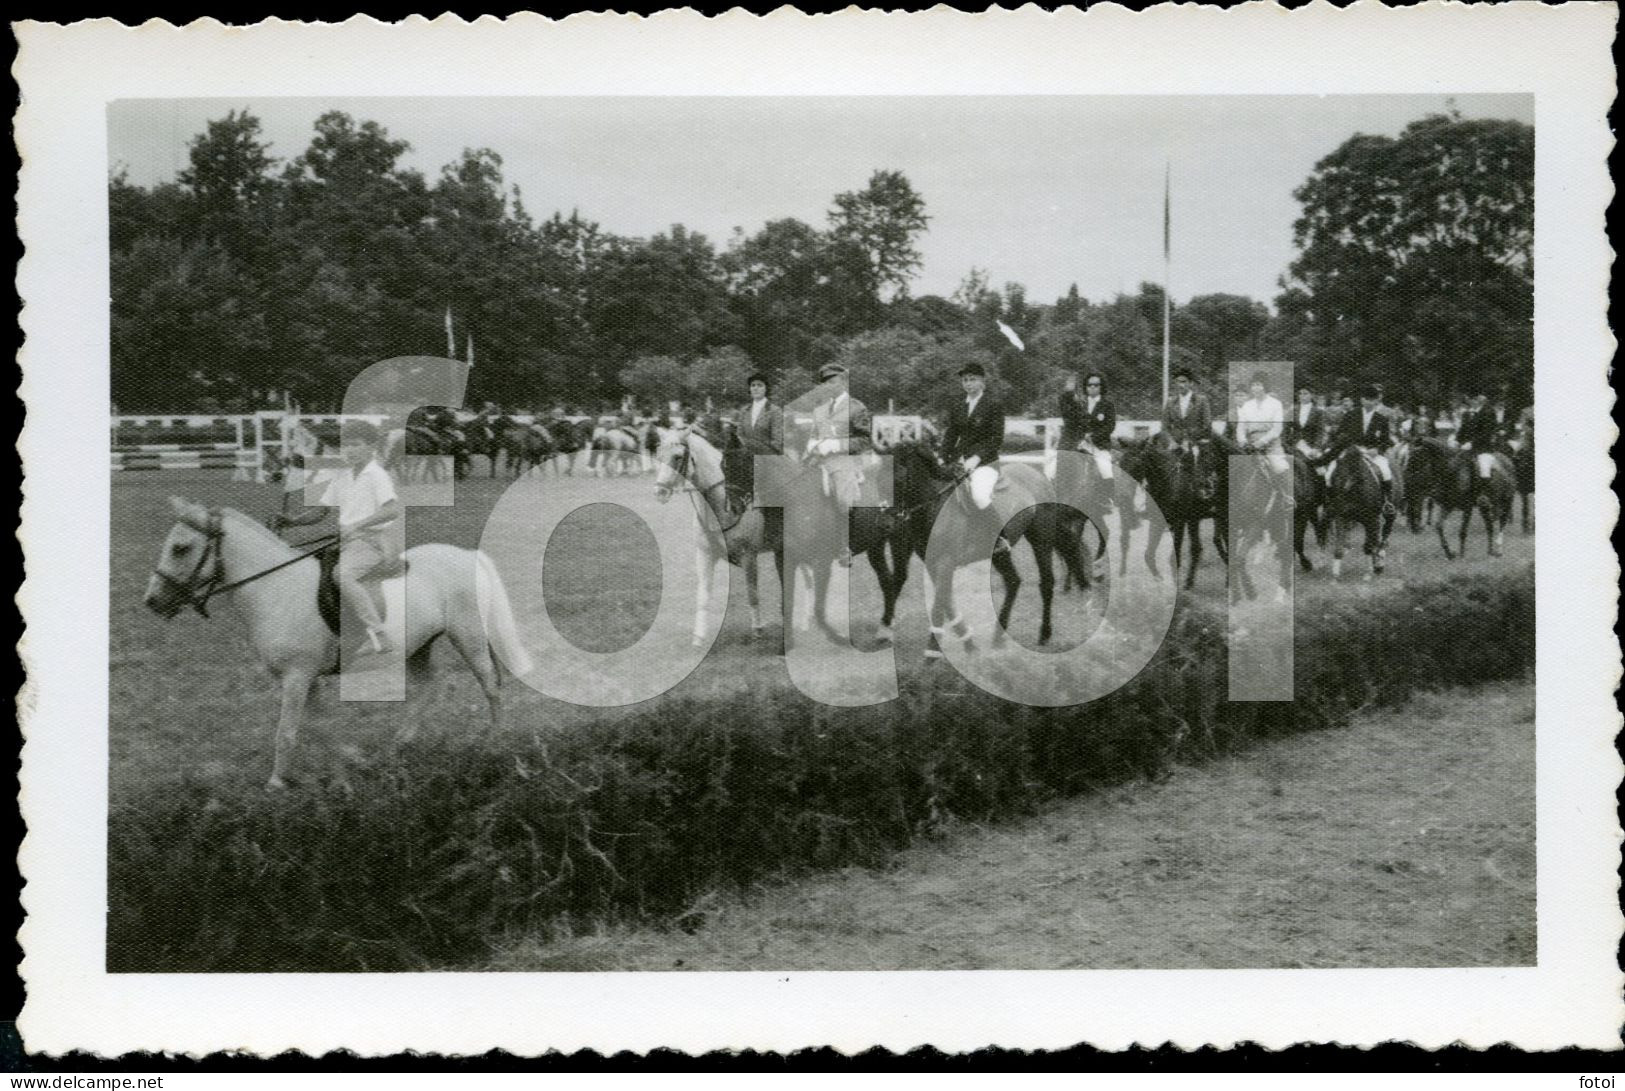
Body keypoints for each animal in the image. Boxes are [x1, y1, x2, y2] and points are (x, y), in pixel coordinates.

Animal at [145, 500, 533, 790]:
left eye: (180, 548)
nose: (152, 602)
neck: (276, 589)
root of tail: (467, 555)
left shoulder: (297, 676)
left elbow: (286, 732)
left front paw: (275, 784)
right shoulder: (308, 679)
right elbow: (320, 728)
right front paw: (346, 766)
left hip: (468, 636)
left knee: (490, 685)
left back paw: (493, 744)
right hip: (419, 646)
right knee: (429, 687)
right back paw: (398, 745)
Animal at [890, 442, 1092, 656]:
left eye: (896, 476)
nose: (890, 522)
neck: (933, 505)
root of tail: (1039, 476)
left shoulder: (945, 562)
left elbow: (939, 605)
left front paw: (932, 652)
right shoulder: (932, 564)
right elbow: (946, 602)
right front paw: (968, 642)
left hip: (1040, 539)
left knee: (1046, 583)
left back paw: (1044, 634)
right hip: (1000, 554)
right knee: (1013, 581)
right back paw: (998, 636)